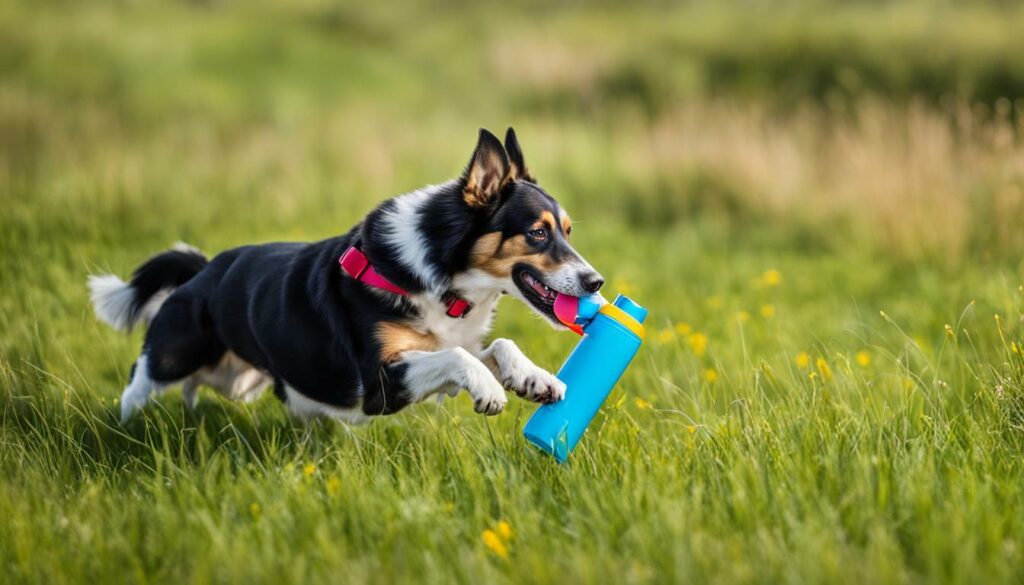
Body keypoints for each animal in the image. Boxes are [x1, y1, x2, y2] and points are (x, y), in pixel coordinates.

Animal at [90, 128, 598, 424]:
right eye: (537, 233)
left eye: (569, 231)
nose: (596, 283)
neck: (442, 279)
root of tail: (204, 270)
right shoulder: (380, 383)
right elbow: (458, 357)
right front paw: (491, 390)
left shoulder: (442, 348)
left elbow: (493, 346)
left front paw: (535, 379)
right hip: (175, 352)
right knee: (141, 378)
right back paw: (126, 426)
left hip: (239, 381)